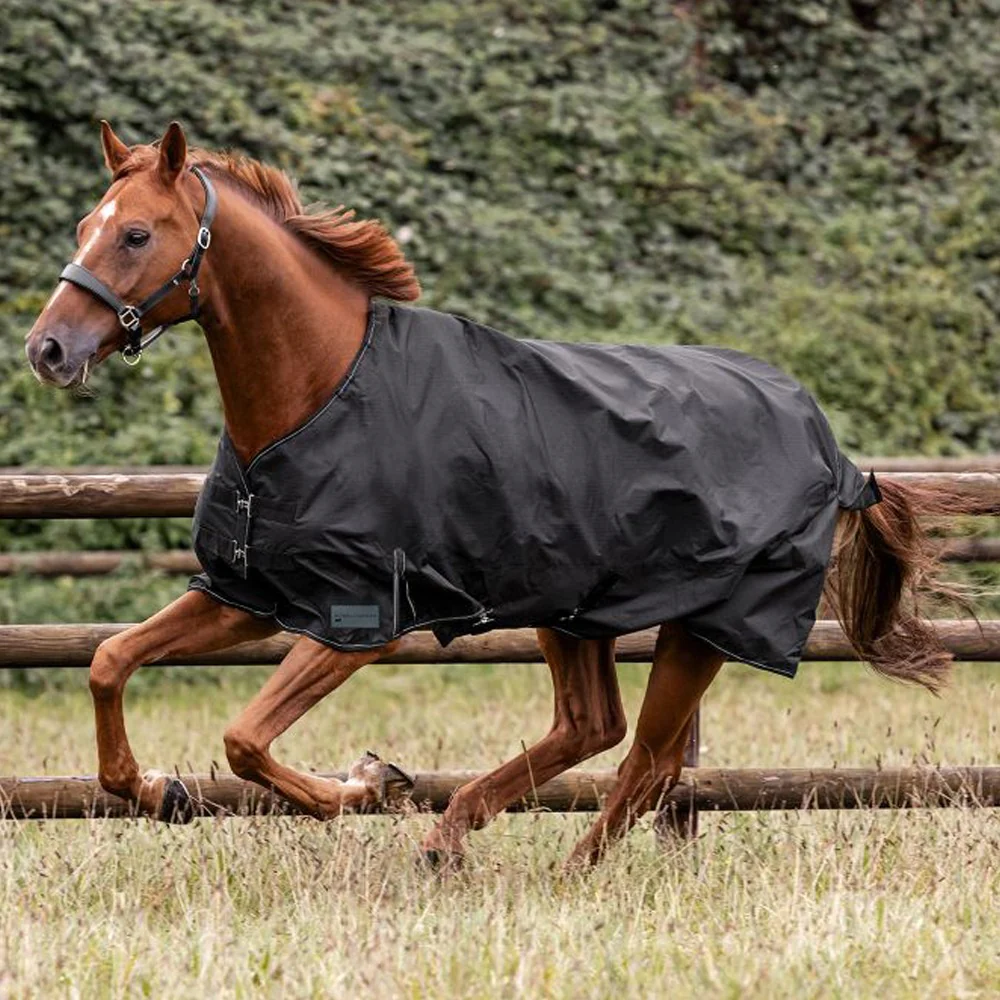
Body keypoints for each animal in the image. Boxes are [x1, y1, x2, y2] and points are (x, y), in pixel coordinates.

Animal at [25, 122, 963, 867]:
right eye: (83, 226)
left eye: (136, 234)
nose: (48, 350)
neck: (318, 394)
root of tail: (829, 444)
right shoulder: (248, 594)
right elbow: (110, 662)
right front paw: (160, 792)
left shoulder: (358, 621)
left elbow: (245, 737)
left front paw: (363, 786)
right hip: (574, 610)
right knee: (593, 728)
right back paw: (456, 838)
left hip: (706, 626)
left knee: (648, 759)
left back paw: (554, 871)